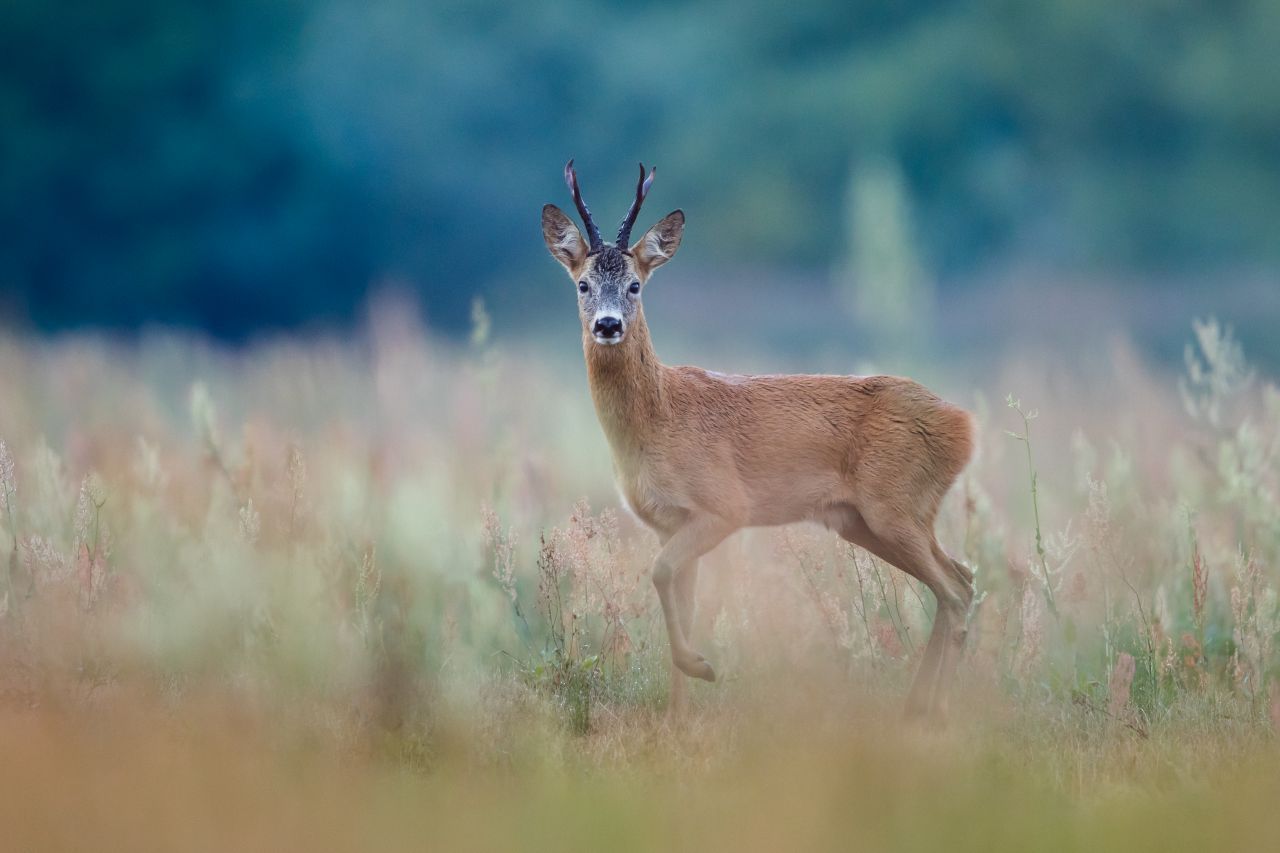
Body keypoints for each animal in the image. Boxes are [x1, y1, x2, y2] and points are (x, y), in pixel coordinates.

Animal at [545, 159, 972, 717]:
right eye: (582, 285)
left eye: (636, 285)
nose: (609, 325)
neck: (656, 420)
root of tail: (963, 426)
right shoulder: (668, 523)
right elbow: (680, 597)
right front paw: (678, 714)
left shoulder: (724, 506)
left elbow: (660, 574)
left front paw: (702, 667)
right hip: (871, 521)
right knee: (962, 578)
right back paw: (918, 706)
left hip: (894, 507)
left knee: (956, 591)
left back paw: (933, 711)